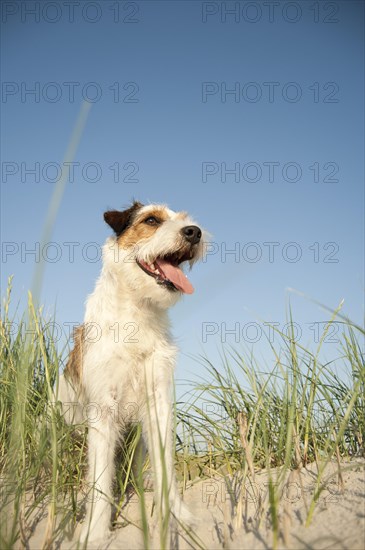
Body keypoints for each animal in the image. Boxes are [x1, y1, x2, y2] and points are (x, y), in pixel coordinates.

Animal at [57, 202, 205, 544]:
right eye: (151, 220)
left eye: (184, 219)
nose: (194, 232)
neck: (139, 313)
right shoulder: (103, 410)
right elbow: (100, 479)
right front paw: (96, 534)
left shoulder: (159, 403)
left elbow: (167, 469)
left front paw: (177, 516)